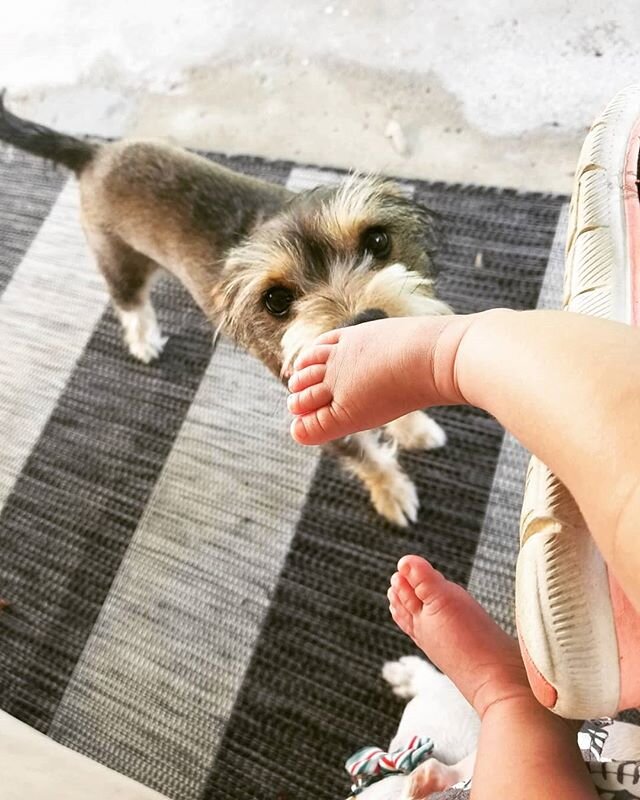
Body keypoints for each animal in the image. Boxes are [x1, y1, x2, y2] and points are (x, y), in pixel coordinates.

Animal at [0, 94, 450, 524]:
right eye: (276, 300)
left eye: (377, 240)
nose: (368, 336)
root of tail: (94, 153)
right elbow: (366, 455)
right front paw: (392, 491)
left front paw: (414, 427)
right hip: (119, 263)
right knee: (131, 305)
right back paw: (144, 341)